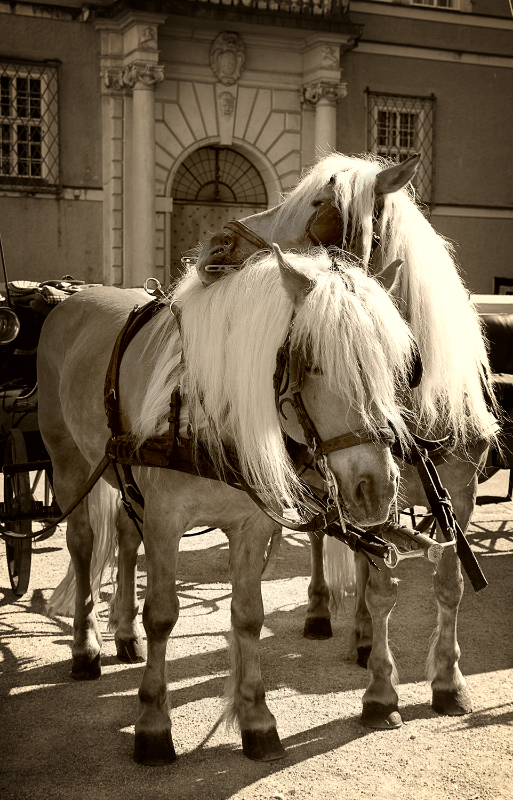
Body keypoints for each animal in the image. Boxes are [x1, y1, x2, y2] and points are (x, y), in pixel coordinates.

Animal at [38, 248, 414, 764]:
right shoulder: (166, 521)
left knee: (126, 539)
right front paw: (152, 725)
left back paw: (125, 636)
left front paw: (257, 719)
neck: (209, 412)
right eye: (312, 361)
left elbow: (248, 615)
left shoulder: (250, 525)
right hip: (69, 463)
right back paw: (85, 648)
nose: (374, 488)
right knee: (81, 545)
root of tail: (77, 296)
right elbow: (162, 614)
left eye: (396, 365)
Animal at [194, 152, 494, 732]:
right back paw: (322, 612)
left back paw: (360, 635)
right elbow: (380, 588)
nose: (217, 242)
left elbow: (447, 584)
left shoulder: (455, 494)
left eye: (320, 208)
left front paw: (448, 682)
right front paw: (381, 693)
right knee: (324, 543)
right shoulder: (367, 484)